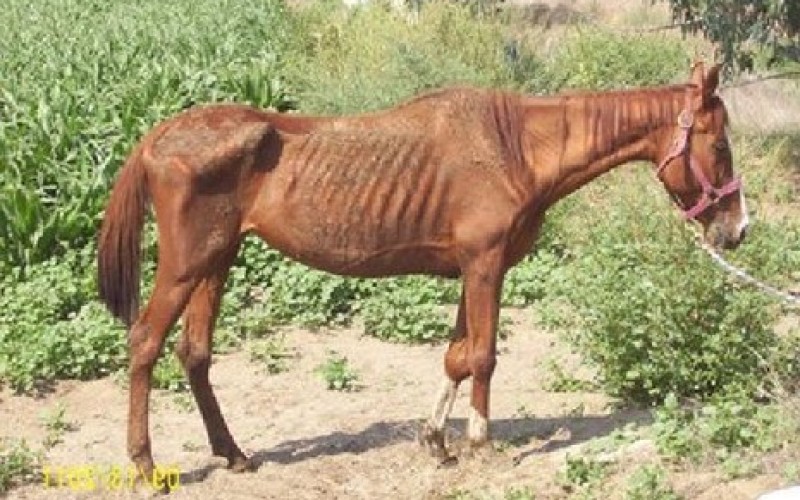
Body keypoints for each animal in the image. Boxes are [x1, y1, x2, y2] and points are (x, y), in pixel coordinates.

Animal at [97, 61, 748, 484]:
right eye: (720, 148)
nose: (737, 230)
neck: (516, 146)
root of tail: (158, 135)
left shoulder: (473, 268)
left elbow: (456, 357)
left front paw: (436, 441)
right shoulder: (485, 266)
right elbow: (483, 355)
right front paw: (481, 443)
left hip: (217, 261)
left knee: (194, 354)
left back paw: (233, 454)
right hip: (187, 266)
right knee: (145, 342)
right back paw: (145, 463)